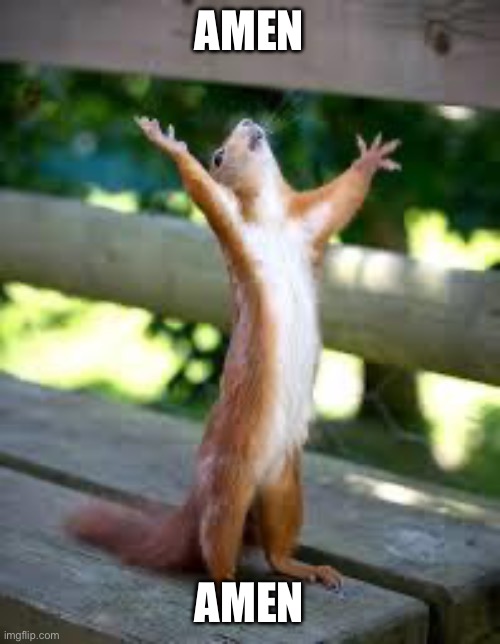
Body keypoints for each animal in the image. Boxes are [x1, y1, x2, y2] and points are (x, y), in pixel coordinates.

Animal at [68, 117, 400, 587]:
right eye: (218, 155)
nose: (247, 121)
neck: (275, 218)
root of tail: (197, 498)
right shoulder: (234, 226)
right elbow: (202, 191)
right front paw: (169, 144)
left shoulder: (309, 221)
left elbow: (343, 197)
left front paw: (370, 158)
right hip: (228, 488)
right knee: (215, 549)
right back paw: (229, 580)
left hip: (284, 485)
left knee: (276, 548)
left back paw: (304, 567)